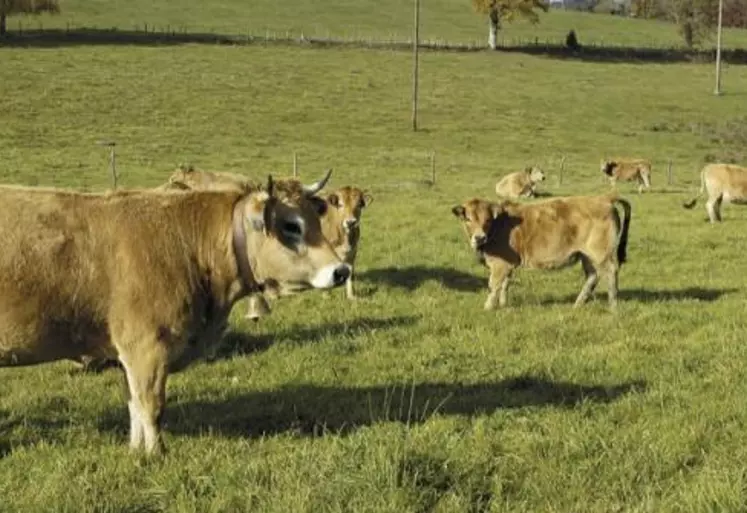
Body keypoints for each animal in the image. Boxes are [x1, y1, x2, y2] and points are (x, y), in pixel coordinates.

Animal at [0, 171, 350, 452]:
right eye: (292, 225)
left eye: (316, 219)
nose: (341, 271)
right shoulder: (147, 348)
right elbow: (151, 406)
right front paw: (156, 455)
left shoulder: (127, 355)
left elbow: (134, 405)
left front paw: (136, 452)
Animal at [450, 192, 632, 310]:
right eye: (468, 219)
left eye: (487, 219)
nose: (479, 237)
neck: (499, 225)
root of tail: (603, 198)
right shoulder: (508, 264)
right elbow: (505, 284)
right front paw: (503, 305)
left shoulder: (499, 265)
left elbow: (494, 285)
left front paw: (488, 307)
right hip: (586, 255)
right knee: (592, 276)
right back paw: (578, 304)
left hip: (602, 253)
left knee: (611, 272)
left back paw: (613, 305)